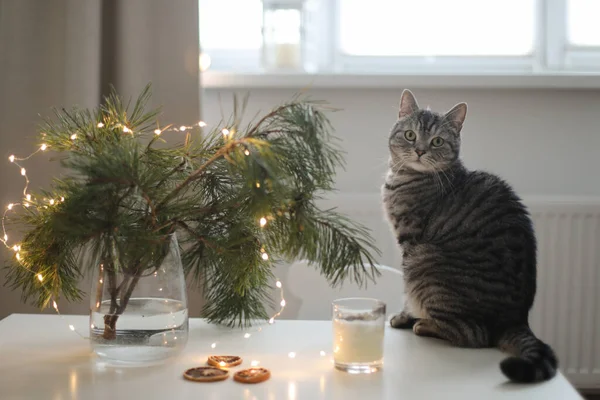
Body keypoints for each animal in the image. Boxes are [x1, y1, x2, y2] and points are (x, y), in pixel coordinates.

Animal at [384, 89, 556, 382]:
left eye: (437, 141)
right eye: (410, 135)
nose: (419, 150)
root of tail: (517, 318)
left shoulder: (410, 243)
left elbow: (406, 294)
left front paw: (405, 317)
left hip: (424, 260)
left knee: (474, 335)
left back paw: (424, 324)